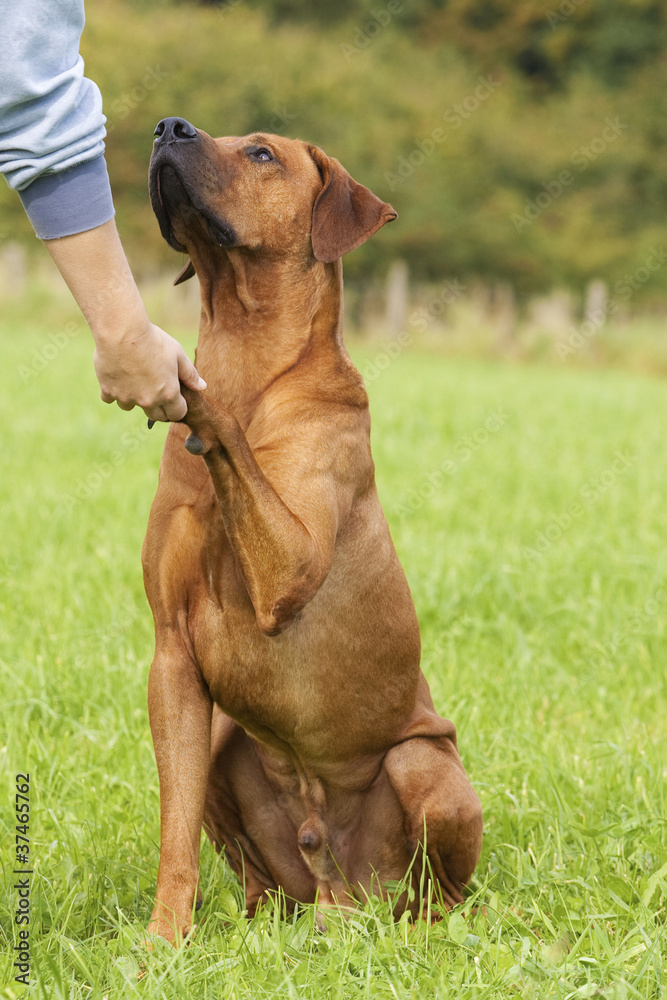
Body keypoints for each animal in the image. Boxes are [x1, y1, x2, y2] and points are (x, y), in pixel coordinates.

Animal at [145, 121, 480, 940]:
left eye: (261, 152)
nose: (168, 127)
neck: (249, 356)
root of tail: (342, 890)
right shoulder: (170, 655)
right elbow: (174, 829)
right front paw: (163, 939)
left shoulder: (288, 569)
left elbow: (220, 418)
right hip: (230, 748)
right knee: (264, 881)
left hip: (424, 768)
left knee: (442, 897)